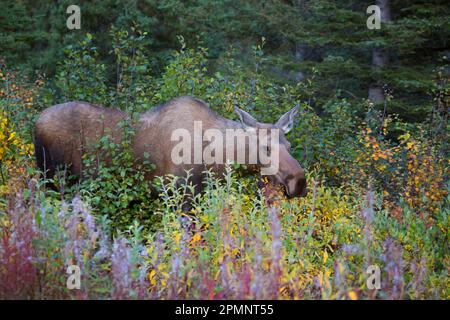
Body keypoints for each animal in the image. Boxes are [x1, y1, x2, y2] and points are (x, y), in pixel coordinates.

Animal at [34, 96, 306, 198]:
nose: (300, 182)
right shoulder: (180, 192)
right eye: (266, 148)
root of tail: (36, 121)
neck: (218, 160)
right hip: (54, 177)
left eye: (290, 145)